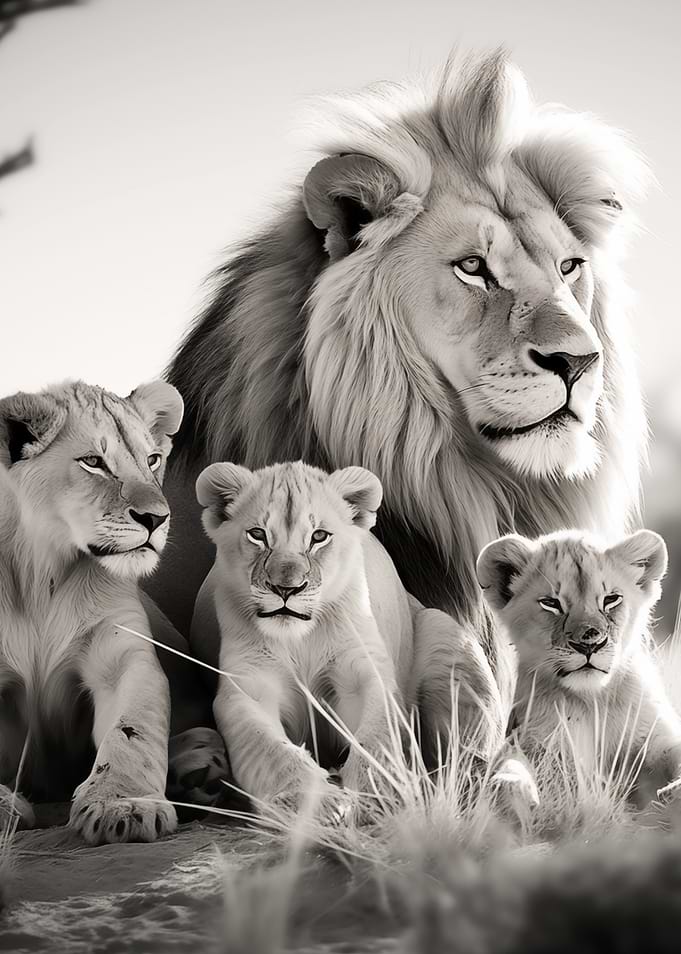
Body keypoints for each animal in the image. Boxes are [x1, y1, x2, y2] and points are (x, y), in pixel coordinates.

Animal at [0, 379, 201, 843]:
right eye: (93, 462)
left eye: (152, 460)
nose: (157, 518)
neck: (42, 570)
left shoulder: (123, 653)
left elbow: (131, 730)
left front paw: (123, 806)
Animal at [189, 459, 503, 816]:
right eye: (258, 534)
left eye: (319, 536)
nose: (287, 588)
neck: (301, 638)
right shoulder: (247, 687)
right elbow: (271, 750)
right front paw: (312, 801)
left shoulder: (363, 673)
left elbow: (377, 738)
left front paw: (376, 796)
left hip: (444, 634)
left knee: (469, 752)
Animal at [476, 529, 681, 808]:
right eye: (551, 603)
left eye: (611, 599)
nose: (589, 643)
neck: (592, 700)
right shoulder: (539, 744)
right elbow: (511, 761)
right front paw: (510, 788)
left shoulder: (656, 736)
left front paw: (674, 791)